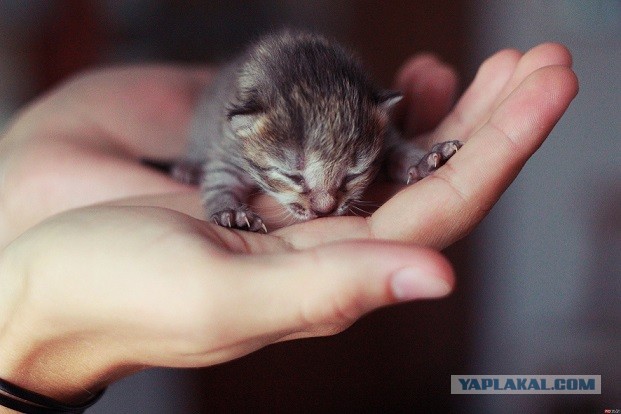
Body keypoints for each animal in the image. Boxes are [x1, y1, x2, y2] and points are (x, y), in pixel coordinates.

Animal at [174, 31, 460, 233]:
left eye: (353, 174)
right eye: (293, 176)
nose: (325, 210)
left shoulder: (386, 136)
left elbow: (398, 149)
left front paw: (423, 160)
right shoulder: (229, 148)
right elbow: (219, 180)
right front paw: (230, 213)